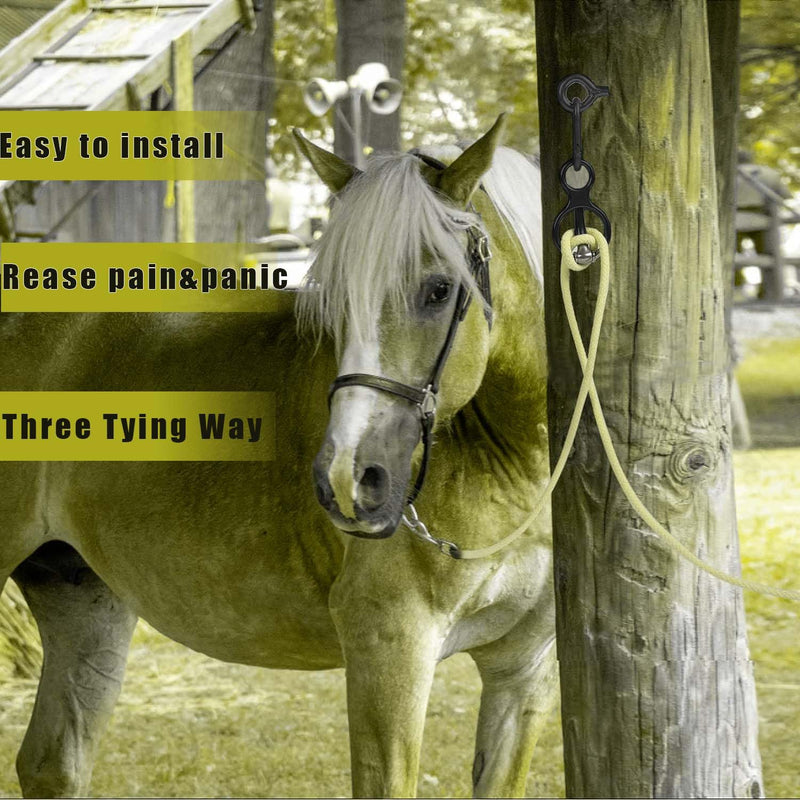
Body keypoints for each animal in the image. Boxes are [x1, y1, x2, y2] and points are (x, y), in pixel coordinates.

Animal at [0, 115, 557, 798]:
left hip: (82, 595)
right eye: (333, 300)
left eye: (439, 289)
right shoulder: (389, 646)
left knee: (52, 763)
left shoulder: (523, 670)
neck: (511, 462)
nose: (348, 478)